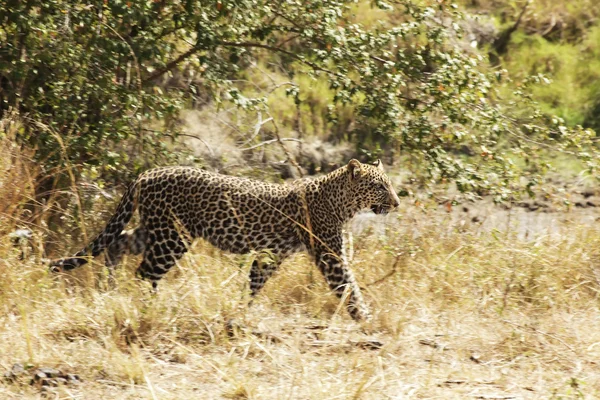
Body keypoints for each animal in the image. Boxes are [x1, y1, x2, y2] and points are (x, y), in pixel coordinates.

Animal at [50, 159, 398, 322]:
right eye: (380, 186)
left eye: (388, 184)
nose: (396, 203)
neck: (341, 202)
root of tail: (147, 173)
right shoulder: (330, 255)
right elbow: (349, 287)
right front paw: (366, 321)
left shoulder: (271, 254)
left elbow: (255, 282)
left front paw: (242, 311)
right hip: (172, 237)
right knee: (145, 272)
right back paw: (149, 306)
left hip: (159, 230)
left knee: (118, 243)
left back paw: (108, 285)